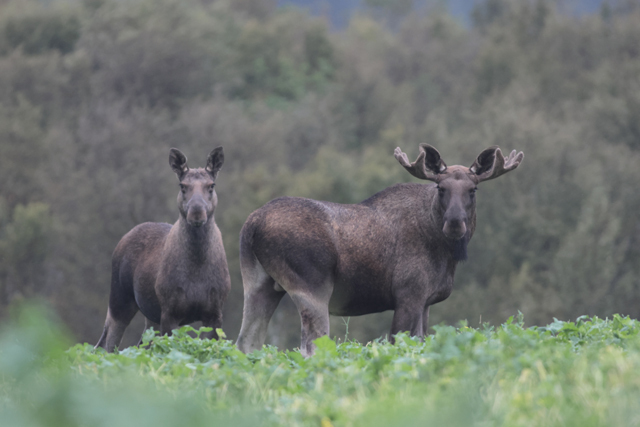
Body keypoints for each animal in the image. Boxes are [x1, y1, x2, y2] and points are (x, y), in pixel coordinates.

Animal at [96, 149, 231, 352]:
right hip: (120, 298)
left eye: (211, 185)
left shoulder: (215, 313)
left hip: (150, 315)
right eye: (182, 186)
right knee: (106, 345)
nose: (196, 212)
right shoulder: (169, 312)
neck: (197, 267)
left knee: (141, 345)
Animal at [238, 145, 524, 356]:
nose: (455, 223)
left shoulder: (426, 301)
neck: (445, 255)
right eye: (441, 188)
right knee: (310, 347)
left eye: (473, 189)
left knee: (246, 343)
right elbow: (397, 344)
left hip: (258, 285)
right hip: (311, 287)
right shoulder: (408, 295)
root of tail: (252, 224)